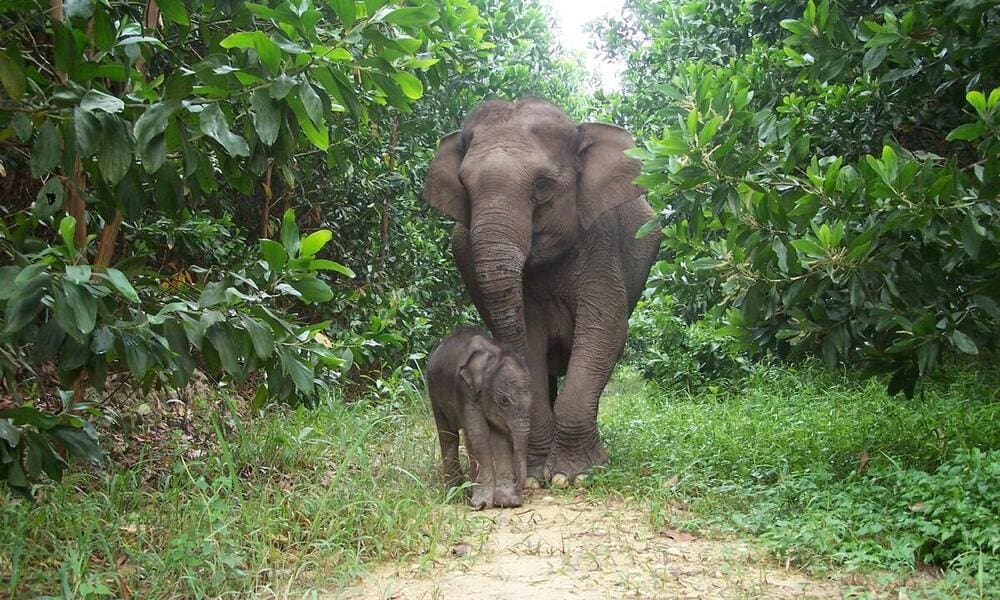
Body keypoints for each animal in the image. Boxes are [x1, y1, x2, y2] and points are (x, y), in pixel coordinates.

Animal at [420, 96, 660, 486]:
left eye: (543, 186)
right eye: (464, 188)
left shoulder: (600, 241)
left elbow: (604, 330)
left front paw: (572, 475)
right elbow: (529, 337)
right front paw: (536, 475)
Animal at [428, 326, 536, 508]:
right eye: (504, 401)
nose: (518, 490)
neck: (494, 355)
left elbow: (499, 438)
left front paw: (506, 502)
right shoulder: (465, 390)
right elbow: (478, 434)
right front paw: (482, 504)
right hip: (433, 393)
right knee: (448, 435)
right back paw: (454, 492)